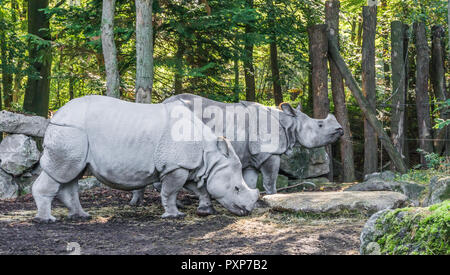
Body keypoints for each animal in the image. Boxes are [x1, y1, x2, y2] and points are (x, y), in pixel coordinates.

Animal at [31, 96, 258, 223]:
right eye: (237, 188)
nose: (247, 211)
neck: (210, 155)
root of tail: (55, 115)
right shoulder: (176, 167)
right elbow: (171, 191)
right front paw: (175, 216)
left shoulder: (189, 165)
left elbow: (199, 188)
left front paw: (205, 210)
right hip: (71, 131)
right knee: (62, 172)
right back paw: (46, 220)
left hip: (74, 136)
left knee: (72, 174)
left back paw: (81, 216)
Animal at [130, 94, 344, 206]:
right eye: (320, 125)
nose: (341, 130)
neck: (289, 123)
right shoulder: (269, 153)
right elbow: (270, 179)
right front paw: (273, 197)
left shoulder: (251, 157)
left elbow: (250, 181)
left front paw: (252, 199)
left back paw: (137, 202)